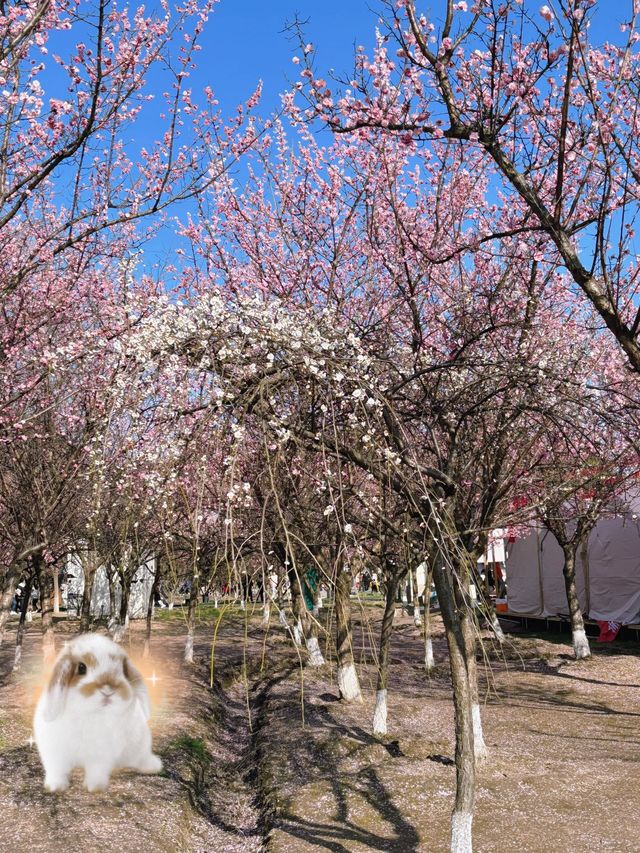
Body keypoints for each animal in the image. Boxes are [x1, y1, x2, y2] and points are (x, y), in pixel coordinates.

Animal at [32, 632, 164, 792]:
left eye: (122, 669)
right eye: (81, 668)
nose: (108, 690)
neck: (91, 714)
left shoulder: (101, 755)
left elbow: (97, 771)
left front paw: (95, 788)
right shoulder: (54, 752)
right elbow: (57, 770)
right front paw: (55, 787)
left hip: (140, 744)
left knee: (140, 758)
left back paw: (153, 766)